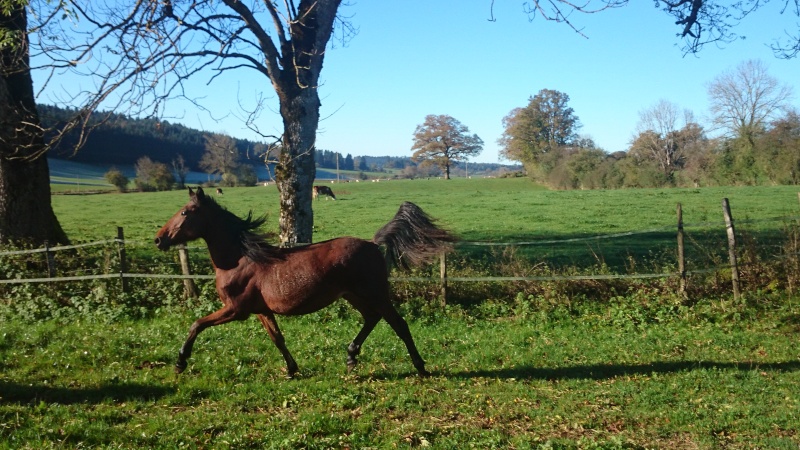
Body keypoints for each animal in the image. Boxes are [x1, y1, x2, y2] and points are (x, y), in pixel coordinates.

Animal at [155, 188, 456, 378]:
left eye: (185, 212)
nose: (159, 239)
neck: (241, 259)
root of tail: (372, 244)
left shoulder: (235, 310)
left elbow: (196, 324)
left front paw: (180, 362)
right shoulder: (261, 311)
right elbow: (277, 338)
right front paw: (292, 370)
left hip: (376, 293)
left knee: (399, 324)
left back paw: (420, 367)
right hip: (353, 295)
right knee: (372, 319)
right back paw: (351, 357)